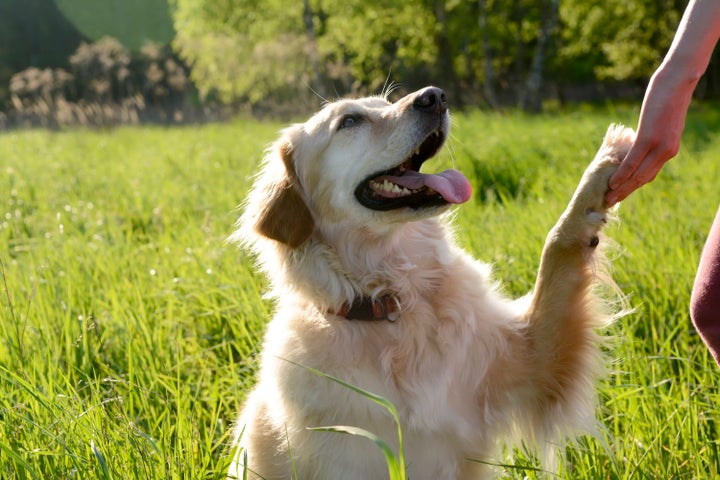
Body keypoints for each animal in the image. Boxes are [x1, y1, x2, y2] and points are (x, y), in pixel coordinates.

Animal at [228, 87, 632, 480]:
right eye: (349, 121)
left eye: (386, 102)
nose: (434, 96)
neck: (395, 303)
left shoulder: (533, 362)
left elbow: (557, 249)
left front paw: (606, 163)